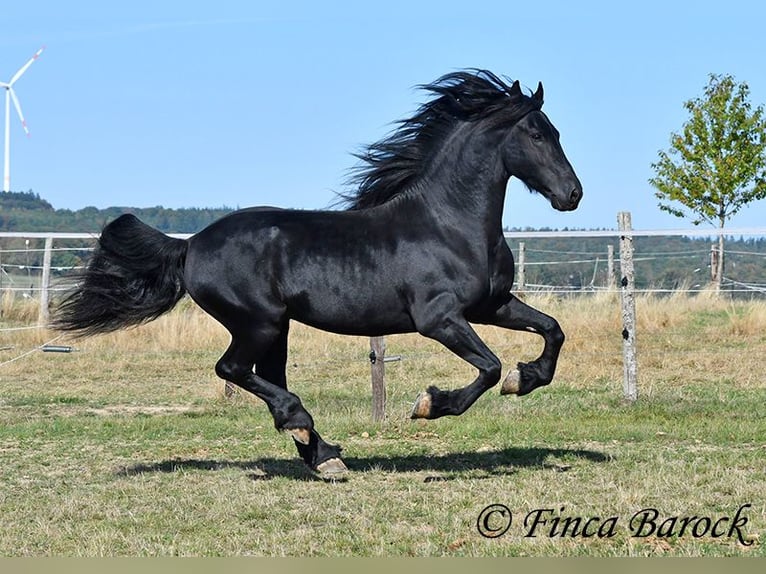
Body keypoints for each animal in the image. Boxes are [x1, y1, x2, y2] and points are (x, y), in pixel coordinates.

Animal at [53, 70, 582, 478]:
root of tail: (190, 246)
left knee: (262, 375)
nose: (572, 194)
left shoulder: (491, 305)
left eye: (557, 132)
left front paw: (525, 378)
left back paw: (322, 453)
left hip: (276, 327)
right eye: (537, 134)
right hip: (258, 323)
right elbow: (488, 367)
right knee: (234, 370)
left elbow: (553, 331)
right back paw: (307, 431)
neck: (448, 223)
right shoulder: (439, 319)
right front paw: (430, 404)